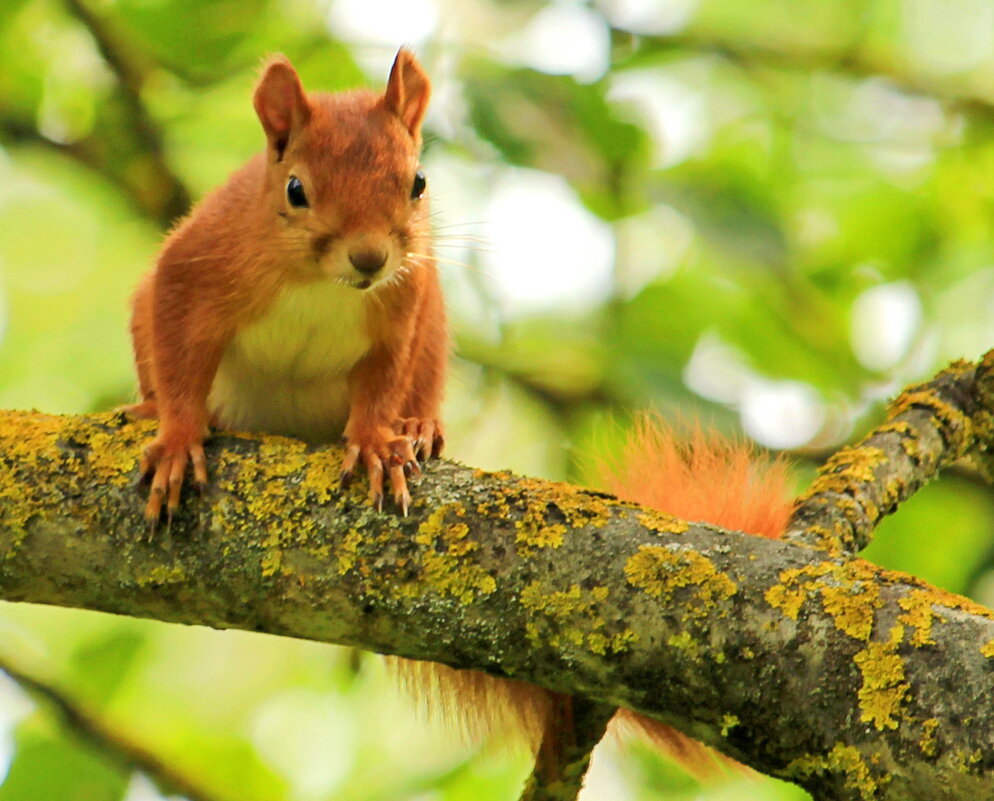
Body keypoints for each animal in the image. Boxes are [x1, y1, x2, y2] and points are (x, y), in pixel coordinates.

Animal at [126, 50, 444, 520]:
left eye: (419, 183)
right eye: (295, 190)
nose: (370, 259)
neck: (322, 282)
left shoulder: (402, 307)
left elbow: (385, 382)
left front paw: (376, 442)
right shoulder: (194, 265)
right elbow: (178, 360)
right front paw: (177, 441)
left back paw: (418, 423)